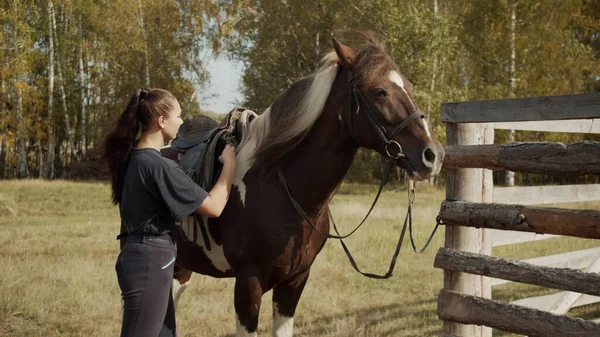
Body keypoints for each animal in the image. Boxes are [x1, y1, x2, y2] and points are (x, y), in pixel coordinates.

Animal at [171, 34, 442, 336]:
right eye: (380, 91)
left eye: (409, 86)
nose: (432, 155)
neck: (278, 189)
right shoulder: (248, 284)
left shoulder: (295, 282)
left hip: (182, 267)